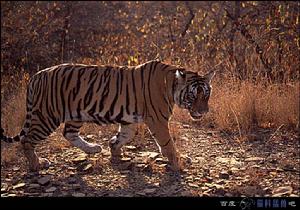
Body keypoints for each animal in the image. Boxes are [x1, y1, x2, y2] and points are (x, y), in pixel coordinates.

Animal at [0, 60, 216, 171]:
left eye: (206, 94)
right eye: (193, 95)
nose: (203, 112)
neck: (170, 86)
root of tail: (36, 76)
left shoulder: (129, 119)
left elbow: (124, 136)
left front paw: (114, 150)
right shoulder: (158, 120)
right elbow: (168, 144)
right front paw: (179, 161)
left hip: (75, 114)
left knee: (68, 133)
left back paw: (93, 148)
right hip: (47, 116)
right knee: (27, 140)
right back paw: (37, 164)